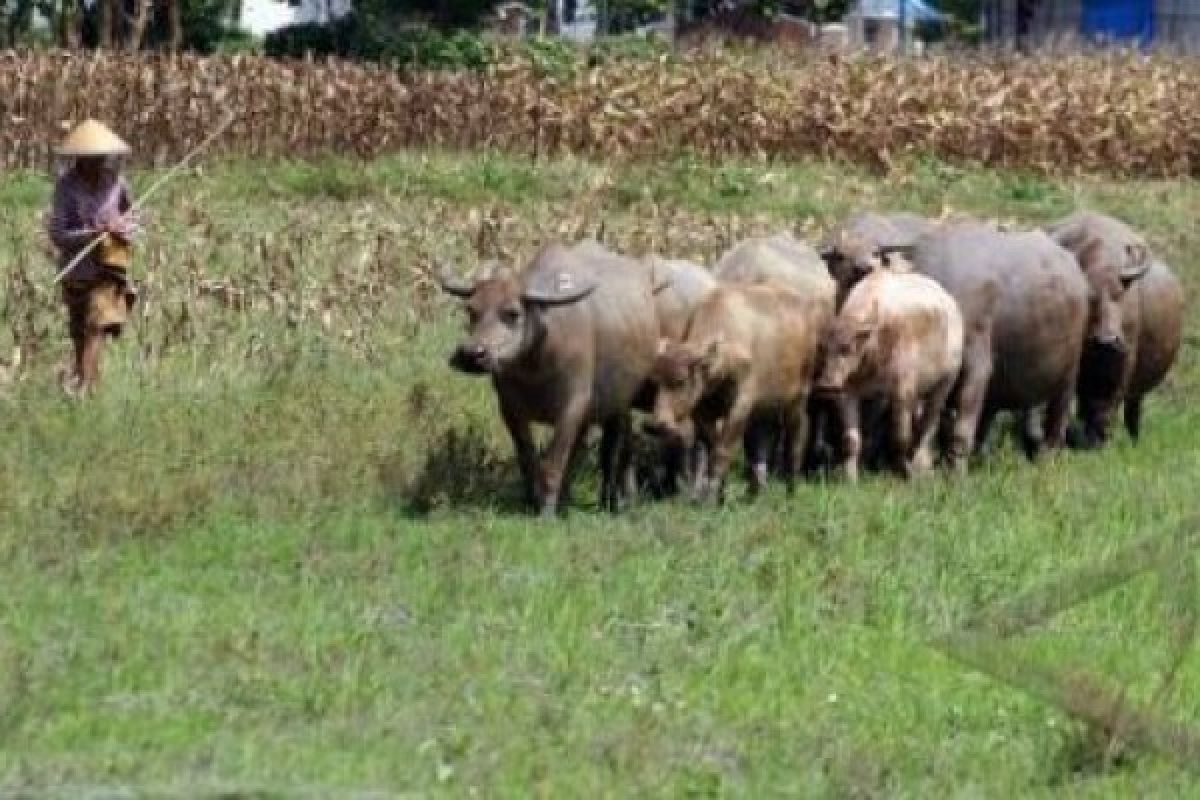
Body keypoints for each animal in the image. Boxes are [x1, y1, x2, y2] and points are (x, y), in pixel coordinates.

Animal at [441, 241, 662, 515]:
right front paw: (532, 502)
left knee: (616, 446)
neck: (535, 366)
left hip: (621, 400)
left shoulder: (572, 406)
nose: (471, 354)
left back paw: (617, 501)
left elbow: (554, 463)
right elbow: (528, 459)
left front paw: (546, 512)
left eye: (512, 313)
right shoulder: (510, 409)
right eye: (471, 310)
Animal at [816, 268, 964, 482]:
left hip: (945, 383)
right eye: (822, 348)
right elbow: (851, 440)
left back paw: (920, 464)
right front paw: (850, 478)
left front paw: (907, 473)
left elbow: (900, 438)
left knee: (929, 424)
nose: (826, 385)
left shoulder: (902, 392)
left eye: (847, 348)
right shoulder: (848, 393)